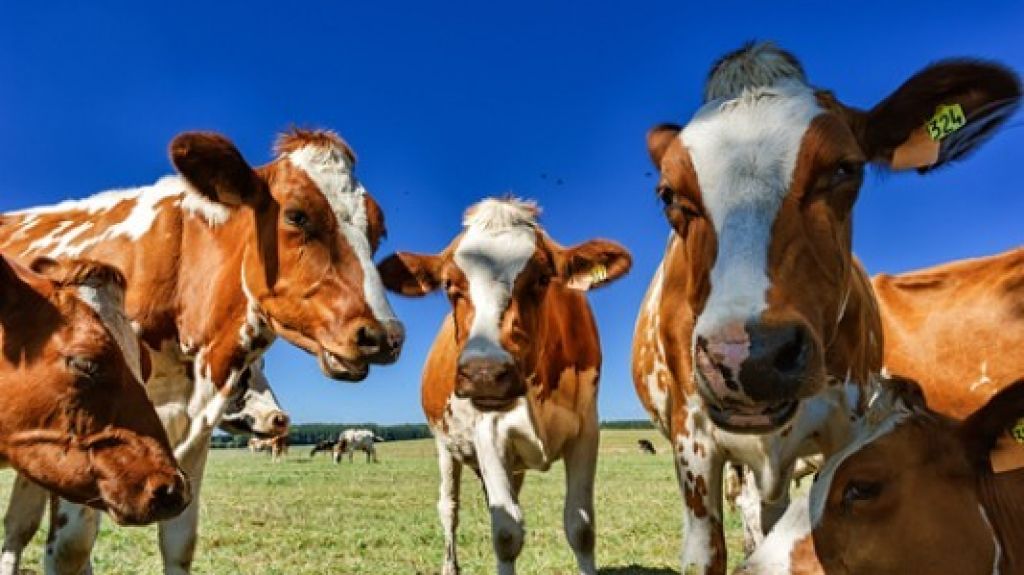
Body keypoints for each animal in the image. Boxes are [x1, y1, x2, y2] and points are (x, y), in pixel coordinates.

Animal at [379, 197, 631, 575]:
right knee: (449, 508)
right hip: (444, 447)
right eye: (449, 285)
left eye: (542, 278)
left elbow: (581, 528)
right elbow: (507, 533)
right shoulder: (489, 432)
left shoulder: (586, 430)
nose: (484, 372)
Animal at [632, 41, 1020, 573]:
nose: (747, 358)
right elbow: (706, 551)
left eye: (844, 168)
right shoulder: (693, 441)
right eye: (670, 195)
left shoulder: (853, 431)